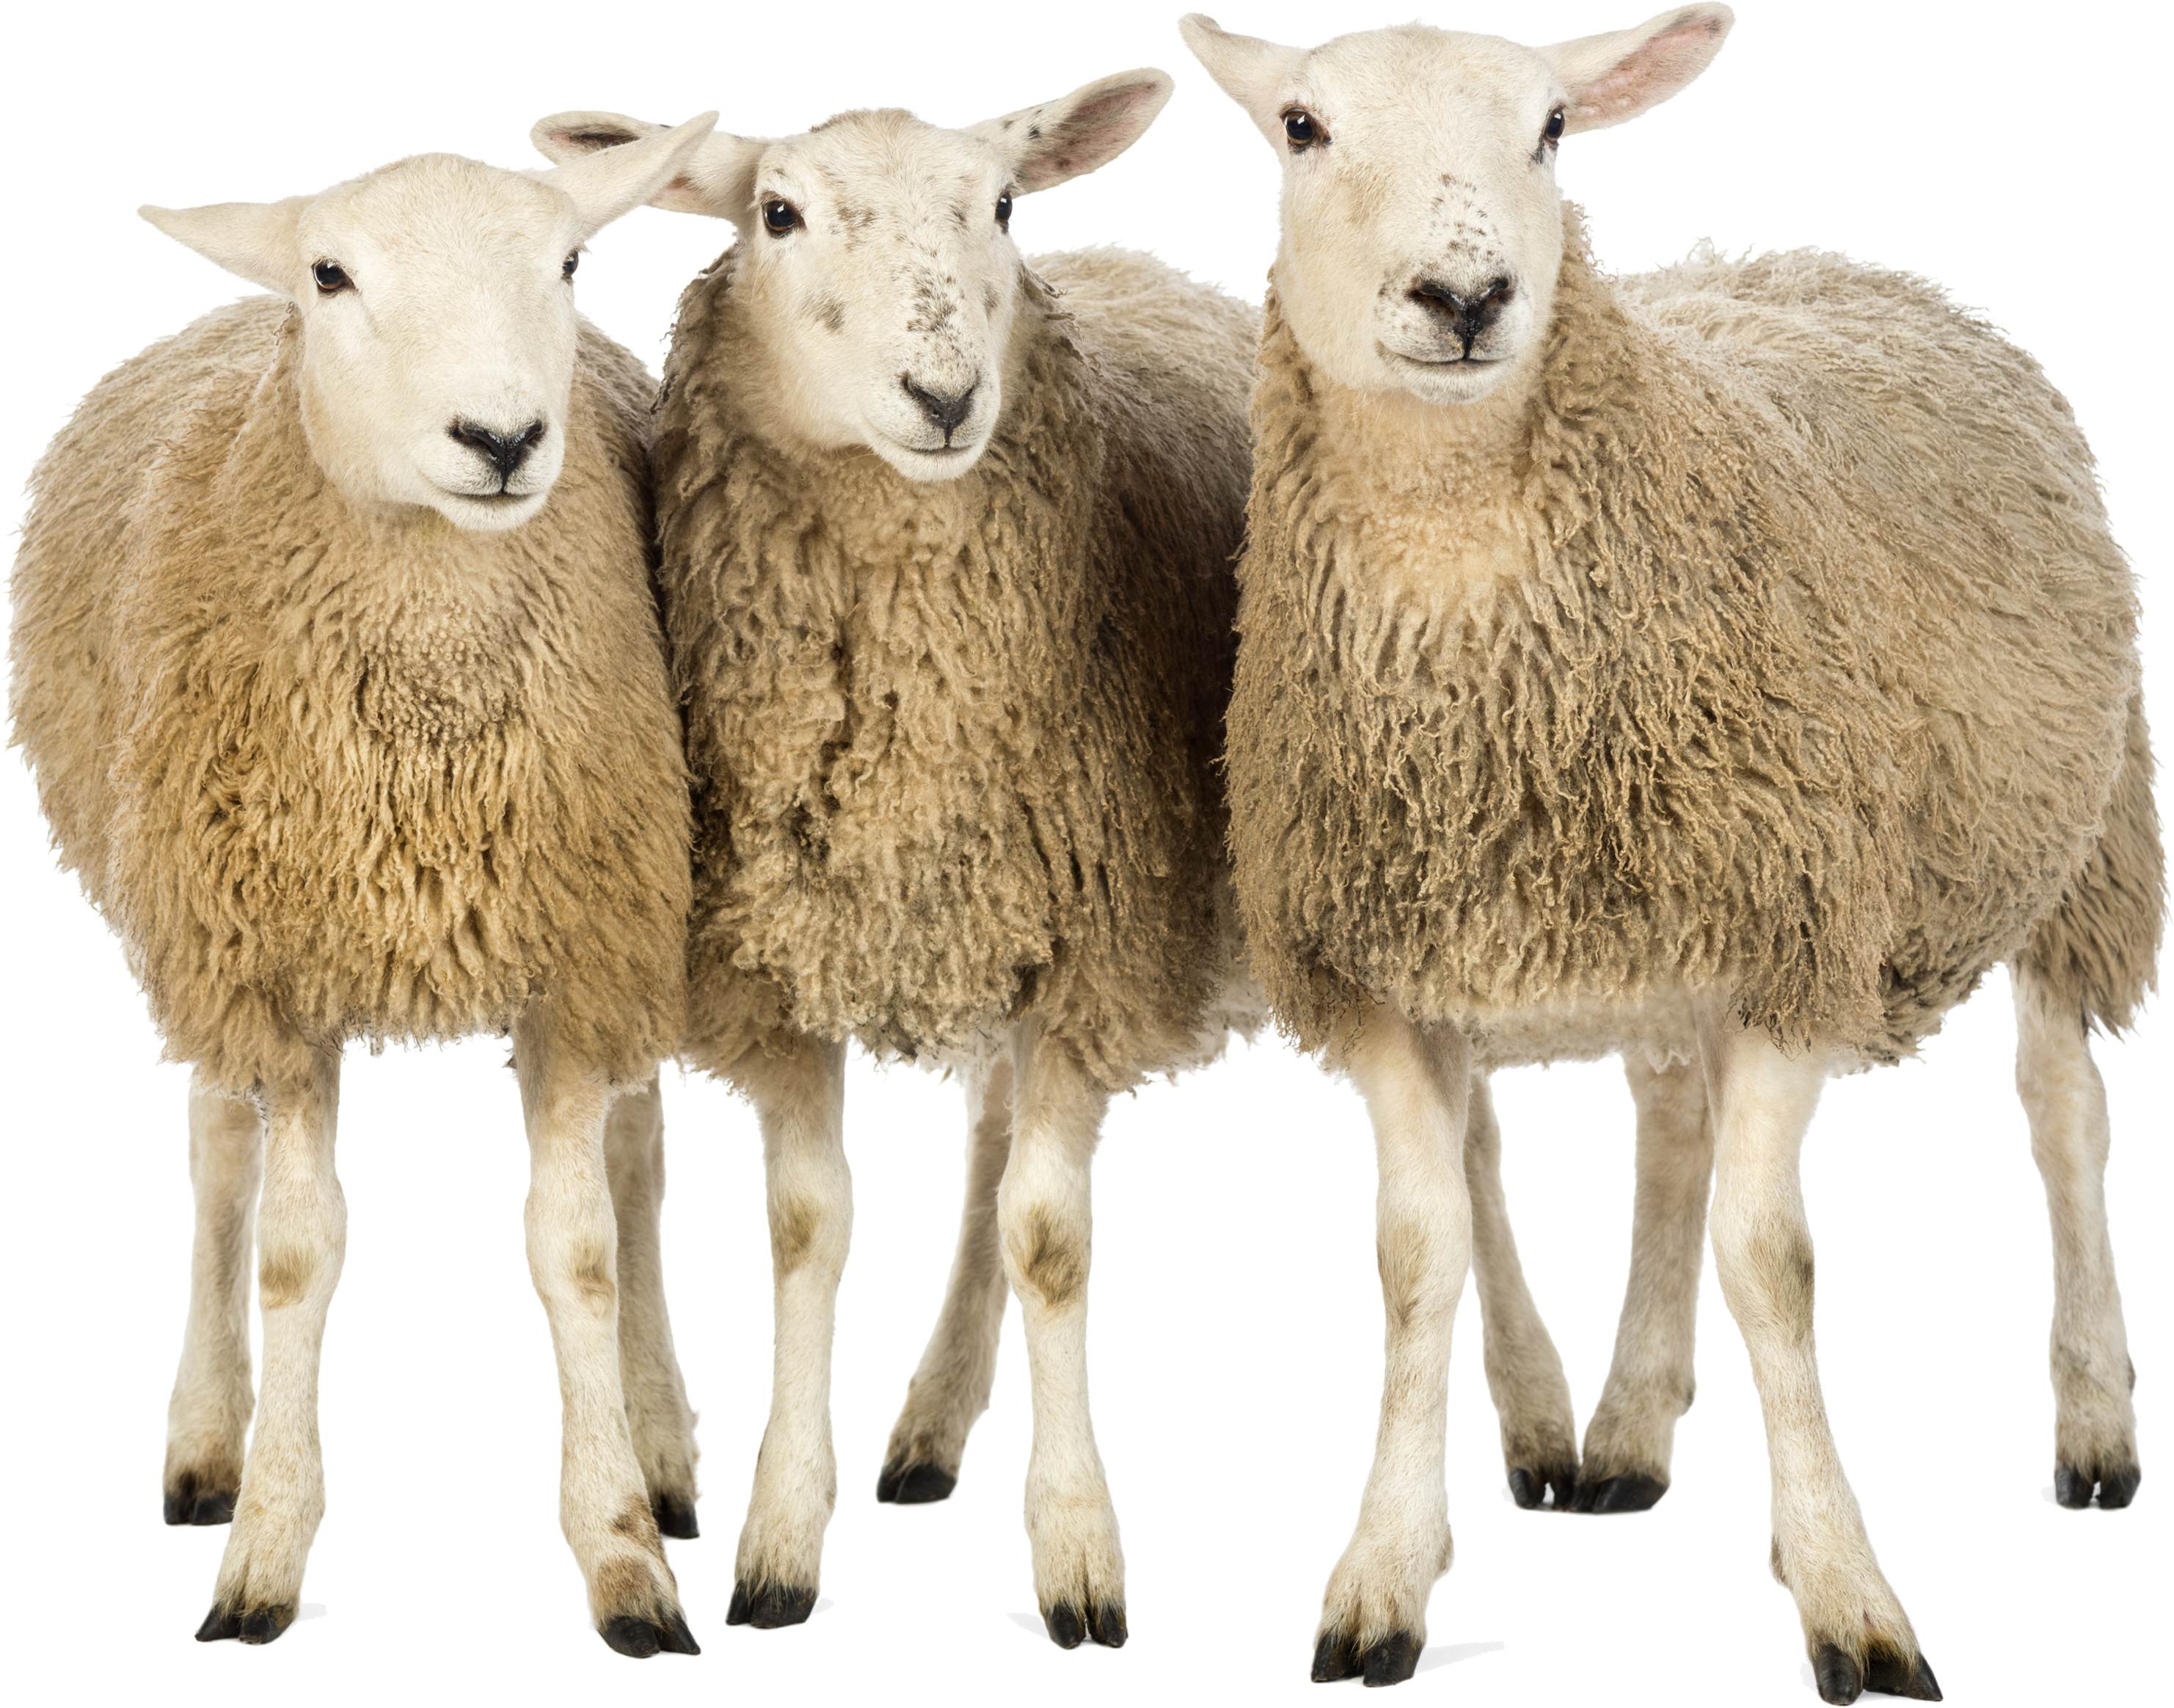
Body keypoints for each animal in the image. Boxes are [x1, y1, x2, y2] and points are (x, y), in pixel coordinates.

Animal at [3, 113, 727, 1657]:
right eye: (334, 275)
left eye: (566, 260)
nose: (501, 439)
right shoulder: (276, 972)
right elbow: (296, 1247)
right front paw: (266, 1550)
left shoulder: (577, 950)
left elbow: (577, 1241)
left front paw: (624, 1551)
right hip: (193, 928)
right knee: (217, 1158)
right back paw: (206, 1450)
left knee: (641, 1162)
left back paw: (661, 1446)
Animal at [526, 68, 1277, 1649]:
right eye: (776, 212)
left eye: (995, 205)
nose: (944, 397)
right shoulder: (776, 966)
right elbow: (808, 1229)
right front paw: (774, 1540)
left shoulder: (1084, 952)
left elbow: (1050, 1237)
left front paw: (1076, 1553)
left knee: (1002, 1157)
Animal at [1180, 4, 2161, 1698]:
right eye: (1300, 126)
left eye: (1553, 130)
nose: (1463, 296)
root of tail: (1846, 260)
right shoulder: (1392, 981)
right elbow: (1417, 1247)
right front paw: (1380, 1578)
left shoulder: (1794, 943)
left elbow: (1769, 1258)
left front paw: (1846, 1596)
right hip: (1656, 919)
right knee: (1666, 1124)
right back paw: (1622, 1434)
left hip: (2074, 841)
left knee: (2059, 1115)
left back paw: (2093, 1426)